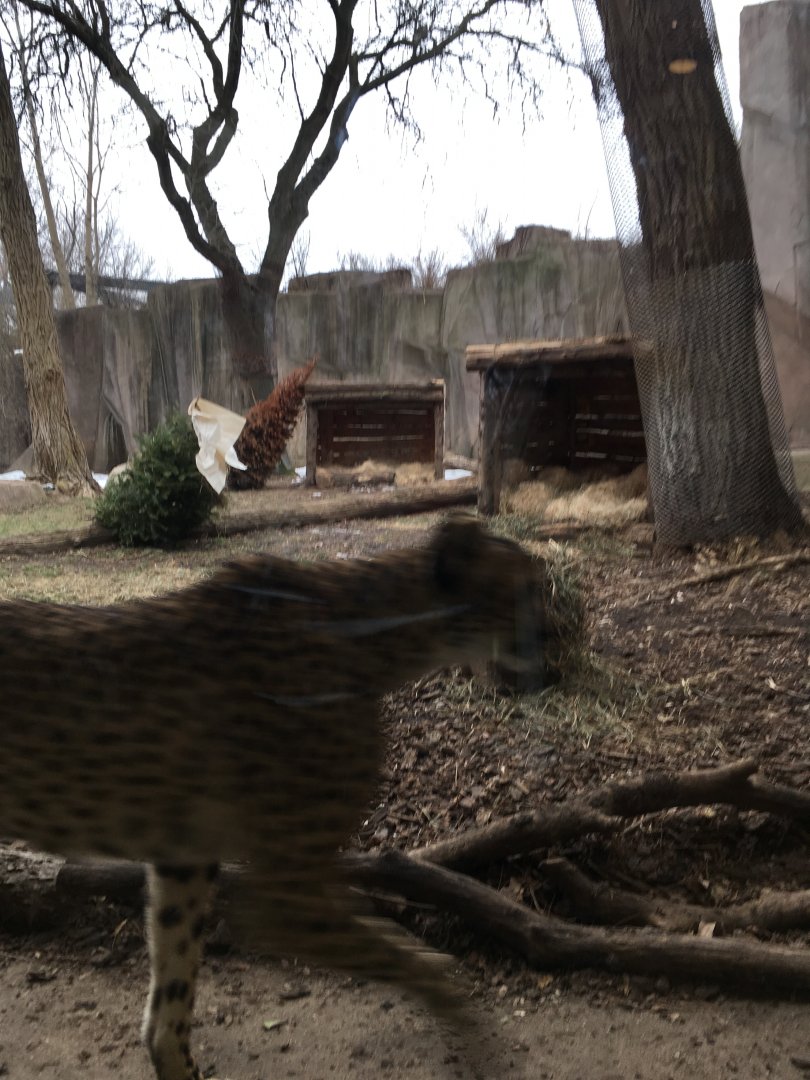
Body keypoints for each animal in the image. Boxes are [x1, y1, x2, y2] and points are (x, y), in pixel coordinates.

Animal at [0, 516, 543, 1080]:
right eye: (528, 590)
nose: (550, 639)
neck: (375, 633)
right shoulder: (283, 896)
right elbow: (419, 964)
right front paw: (473, 1032)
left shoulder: (185, 855)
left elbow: (169, 1007)